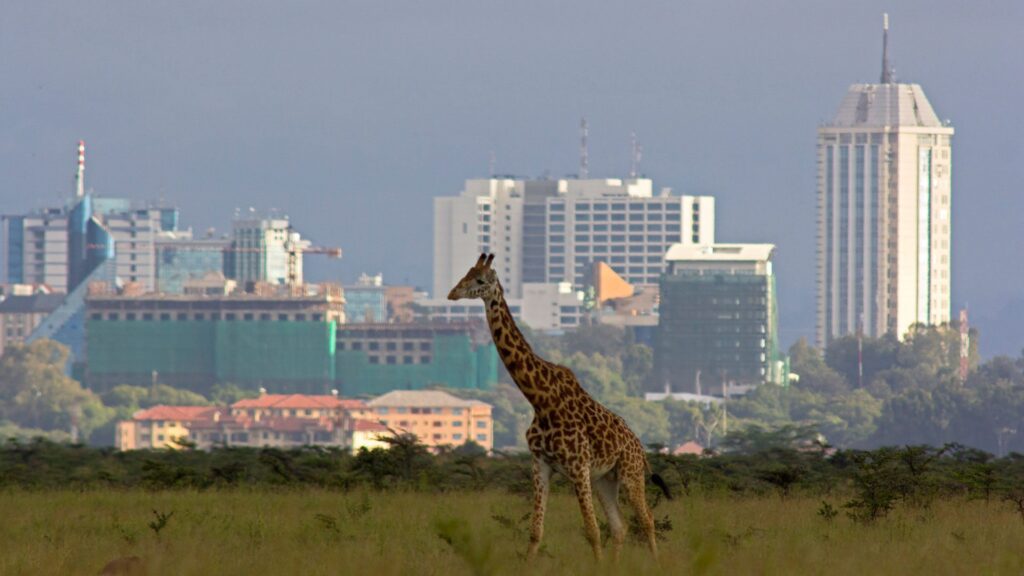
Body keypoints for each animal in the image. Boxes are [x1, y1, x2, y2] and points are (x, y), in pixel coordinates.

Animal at [448, 253, 671, 557]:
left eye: (480, 280)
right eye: (466, 273)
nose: (452, 293)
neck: (541, 400)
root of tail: (640, 446)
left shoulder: (578, 467)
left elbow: (592, 531)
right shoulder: (540, 464)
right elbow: (535, 531)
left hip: (630, 473)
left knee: (646, 520)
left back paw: (655, 560)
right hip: (605, 479)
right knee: (620, 526)